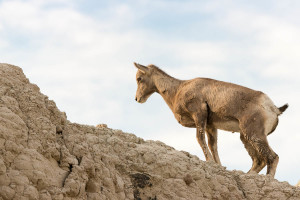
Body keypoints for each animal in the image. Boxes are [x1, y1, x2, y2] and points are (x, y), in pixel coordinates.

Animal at [134, 63, 288, 177]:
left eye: (139, 78)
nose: (137, 99)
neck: (178, 89)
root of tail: (274, 108)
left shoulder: (199, 115)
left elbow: (200, 139)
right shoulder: (211, 127)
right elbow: (213, 146)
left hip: (254, 135)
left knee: (272, 157)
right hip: (245, 137)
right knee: (259, 161)